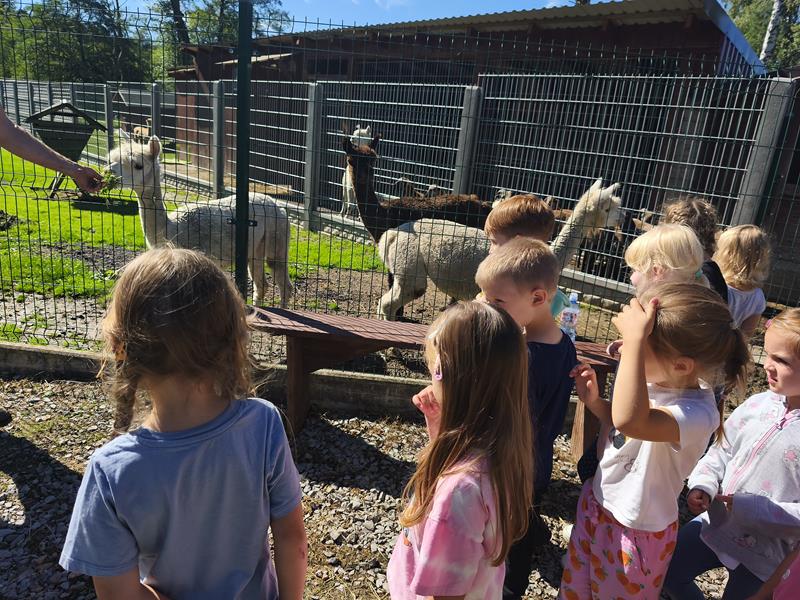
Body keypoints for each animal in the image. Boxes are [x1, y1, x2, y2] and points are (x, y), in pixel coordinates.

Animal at [107, 132, 293, 307]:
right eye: (112, 160)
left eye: (138, 165)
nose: (108, 172)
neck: (172, 228)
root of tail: (276, 204)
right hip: (255, 248)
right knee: (262, 284)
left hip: (278, 238)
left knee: (284, 284)